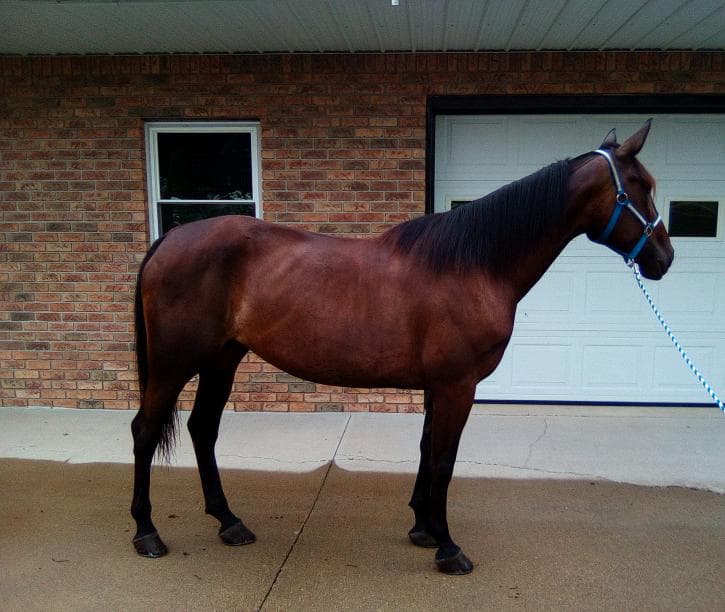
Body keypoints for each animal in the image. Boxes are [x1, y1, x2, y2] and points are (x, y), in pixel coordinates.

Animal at [131, 121, 673, 575]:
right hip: (174, 364)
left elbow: (427, 450)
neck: (474, 264)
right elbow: (444, 460)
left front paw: (424, 528)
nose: (664, 258)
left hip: (221, 360)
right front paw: (449, 548)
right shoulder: (458, 385)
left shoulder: (440, 386)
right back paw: (147, 532)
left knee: (203, 429)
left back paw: (229, 522)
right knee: (145, 430)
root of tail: (170, 238)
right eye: (641, 185)